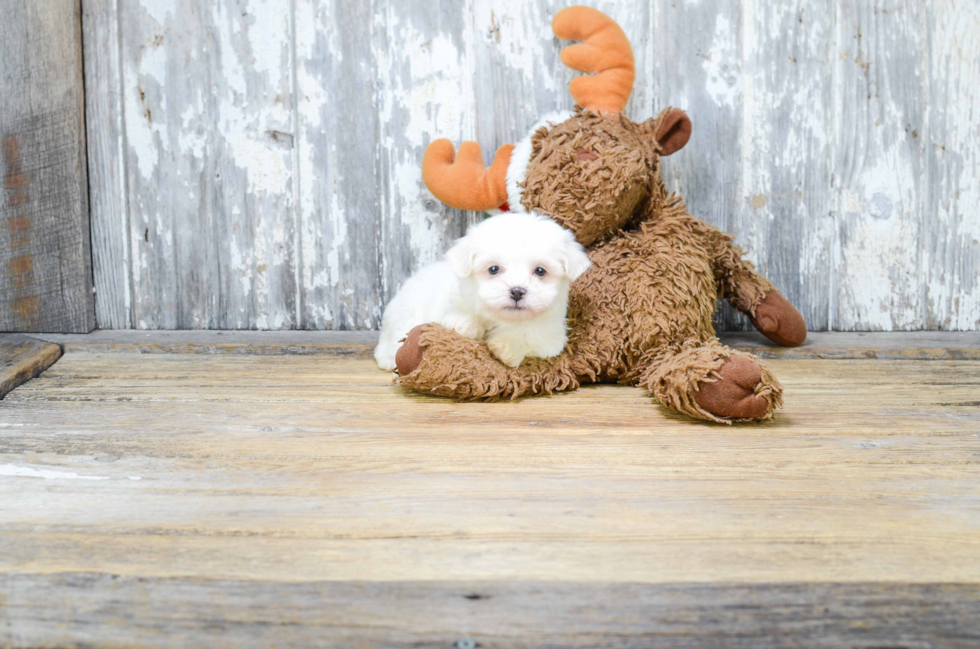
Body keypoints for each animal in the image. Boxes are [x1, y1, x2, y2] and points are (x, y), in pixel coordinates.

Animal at [374, 214, 588, 370]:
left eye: (540, 271)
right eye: (493, 269)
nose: (517, 291)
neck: (500, 318)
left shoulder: (550, 337)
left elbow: (527, 338)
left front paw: (507, 346)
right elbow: (455, 314)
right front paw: (464, 324)